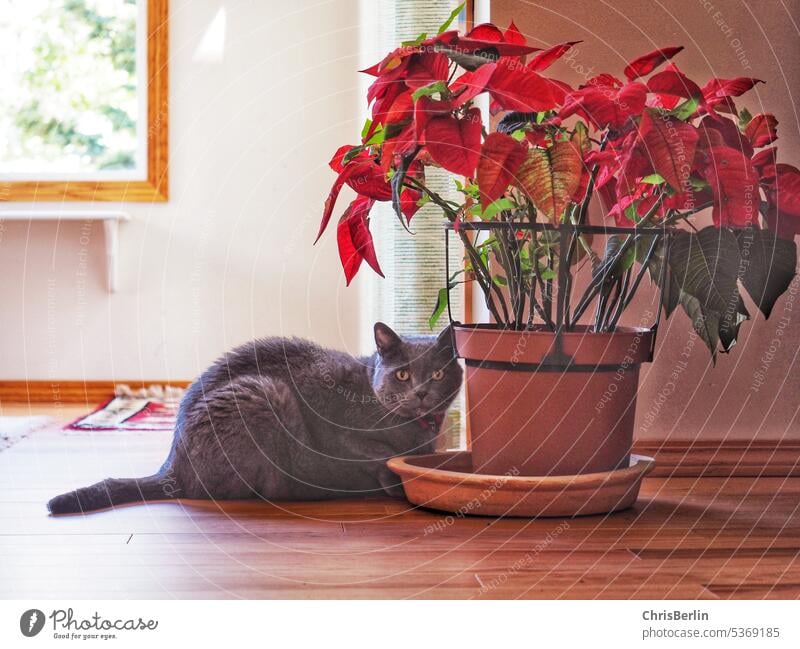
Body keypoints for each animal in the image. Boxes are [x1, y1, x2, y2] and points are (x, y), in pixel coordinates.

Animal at [48, 322, 462, 512]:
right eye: (403, 375)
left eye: (438, 375)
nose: (420, 392)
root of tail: (171, 465)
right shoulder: (344, 434)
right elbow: (382, 455)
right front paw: (394, 482)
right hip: (261, 394)